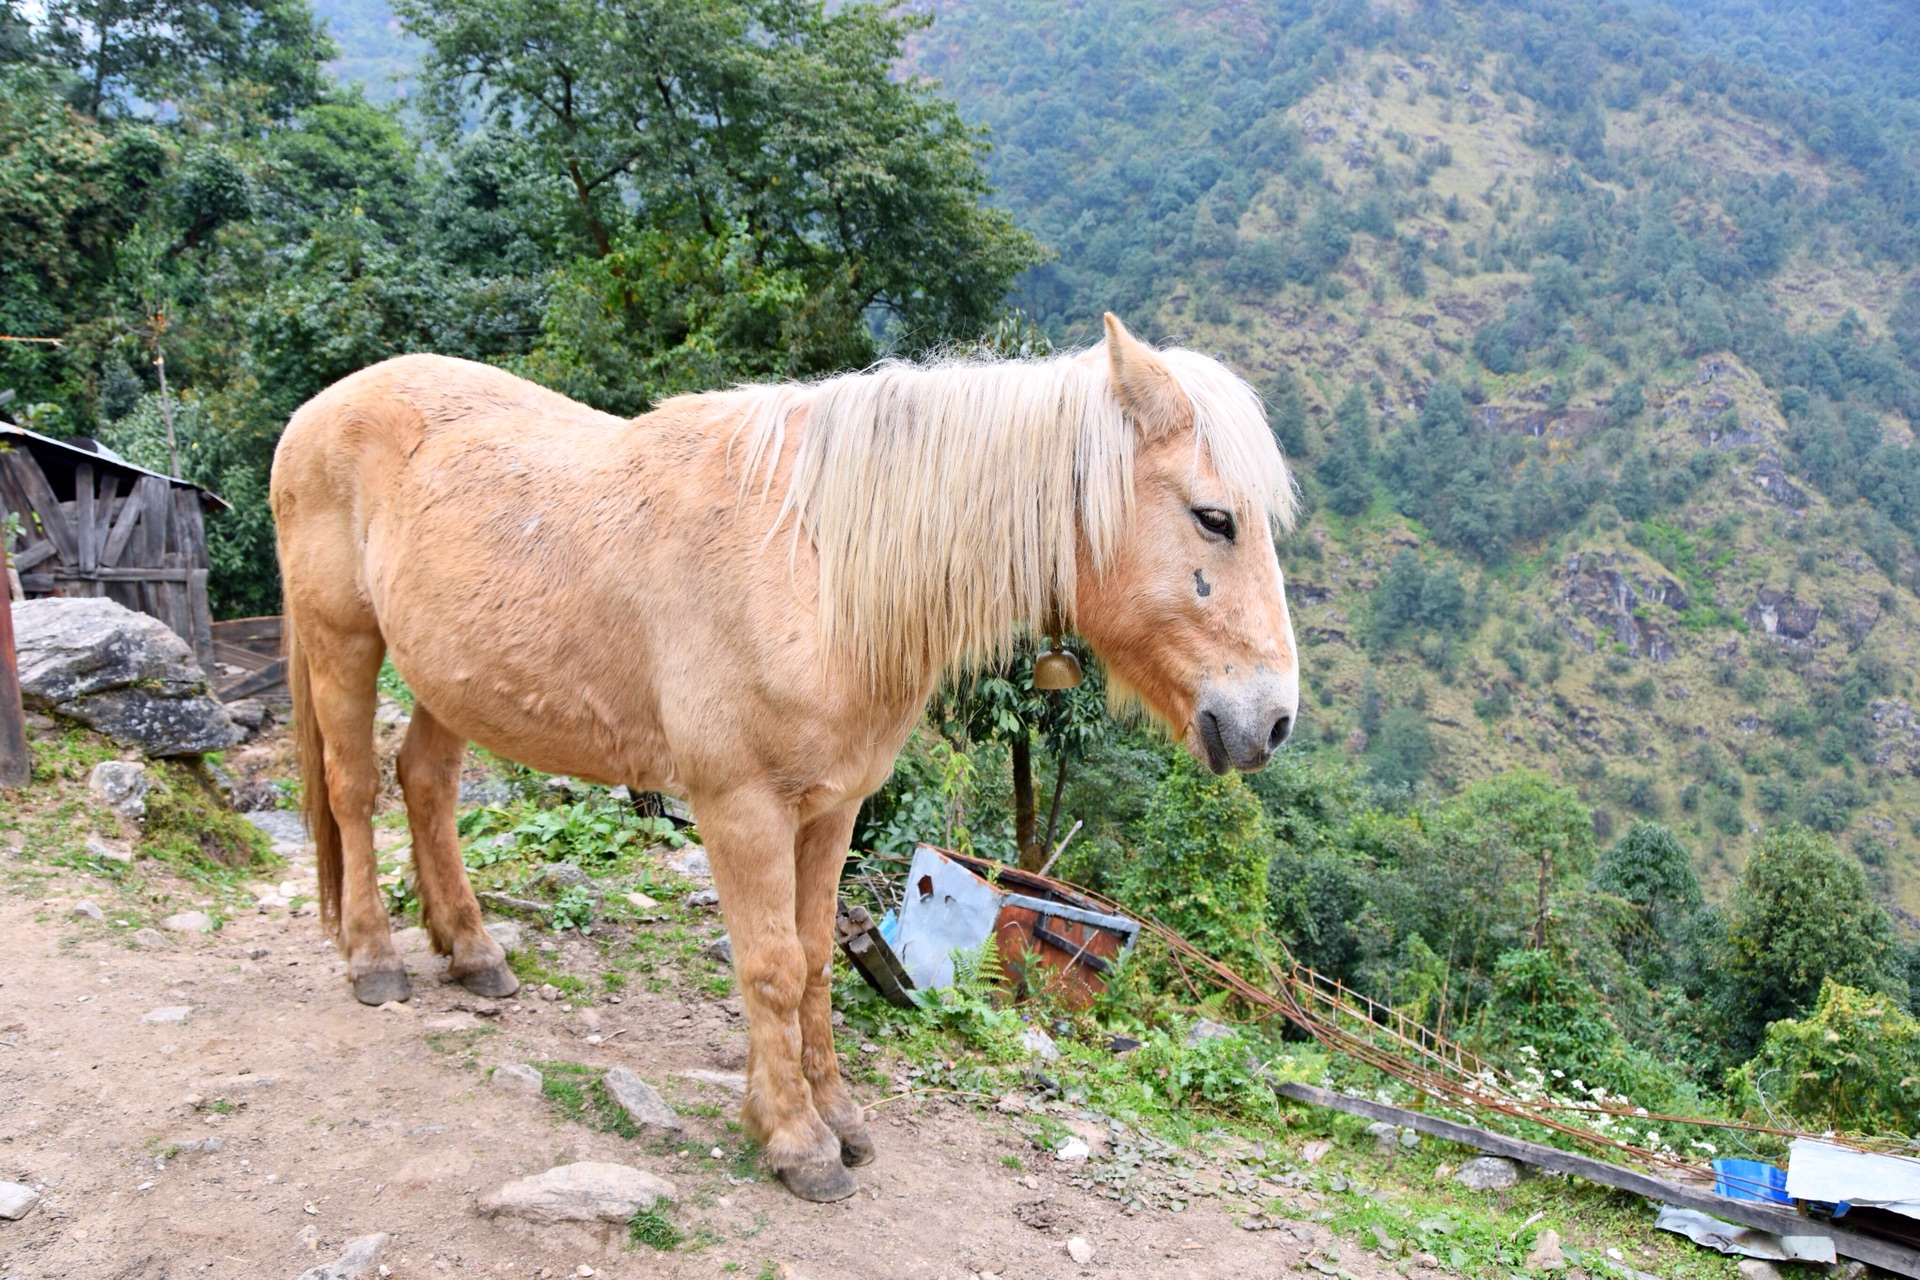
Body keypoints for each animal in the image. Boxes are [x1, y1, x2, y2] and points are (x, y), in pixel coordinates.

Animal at [270, 312, 1305, 1205]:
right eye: (1215, 518)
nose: (1272, 721)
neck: (818, 568)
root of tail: (321, 408)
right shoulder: (741, 808)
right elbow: (767, 965)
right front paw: (796, 1142)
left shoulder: (831, 807)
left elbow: (813, 961)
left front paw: (835, 1114)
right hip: (344, 642)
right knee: (355, 791)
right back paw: (375, 962)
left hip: (449, 676)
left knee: (427, 785)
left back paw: (472, 950)